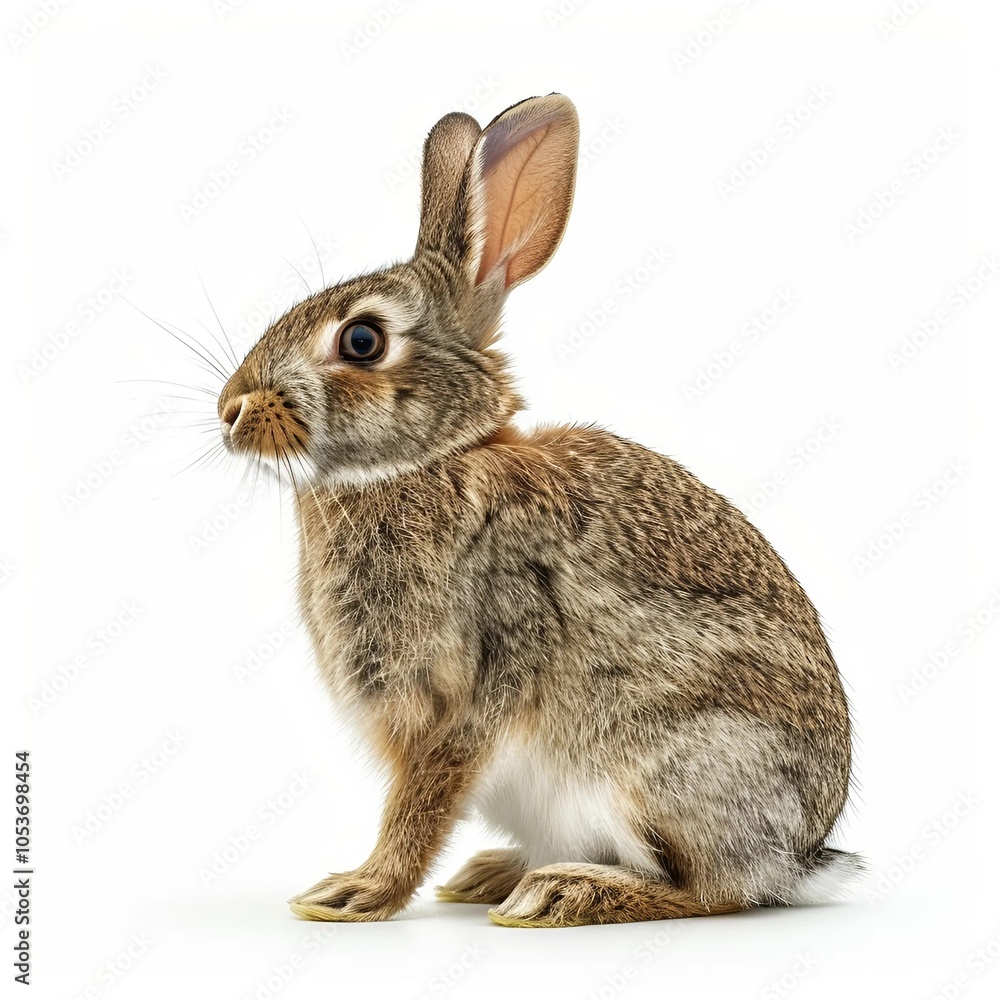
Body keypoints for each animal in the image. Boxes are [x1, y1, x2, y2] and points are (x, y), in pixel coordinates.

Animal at [216, 93, 862, 927]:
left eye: (361, 340)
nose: (230, 410)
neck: (430, 461)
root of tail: (800, 855)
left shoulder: (465, 694)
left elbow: (420, 806)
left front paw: (355, 892)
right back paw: (498, 874)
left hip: (660, 764)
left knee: (712, 892)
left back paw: (560, 892)